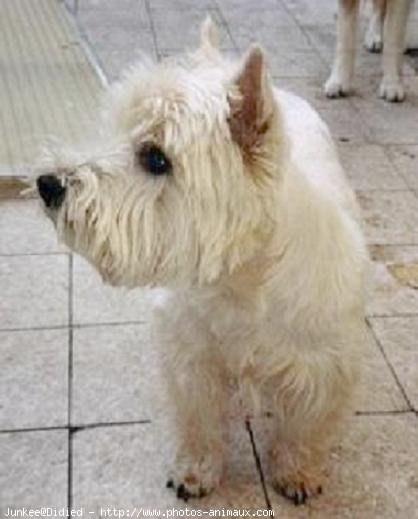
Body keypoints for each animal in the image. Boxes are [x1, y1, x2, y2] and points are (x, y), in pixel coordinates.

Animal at [36, 19, 370, 504]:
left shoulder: (322, 366)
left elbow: (303, 428)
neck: (241, 281)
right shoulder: (191, 357)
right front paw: (195, 472)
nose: (48, 184)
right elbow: (198, 421)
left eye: (156, 158)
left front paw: (297, 473)